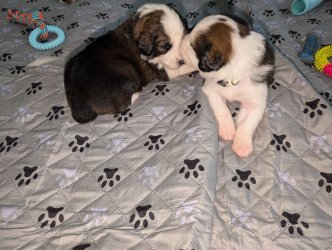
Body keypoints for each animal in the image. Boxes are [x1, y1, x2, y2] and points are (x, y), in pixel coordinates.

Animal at [64, 3, 195, 123]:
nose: (182, 60)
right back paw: (136, 93)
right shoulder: (163, 70)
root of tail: (78, 100)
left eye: (183, 38)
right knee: (120, 106)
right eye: (165, 46)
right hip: (126, 69)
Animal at [182, 14, 274, 156]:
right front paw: (228, 130)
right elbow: (222, 109)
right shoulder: (210, 89)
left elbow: (247, 122)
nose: (182, 40)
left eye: (192, 46)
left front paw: (242, 144)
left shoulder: (256, 100)